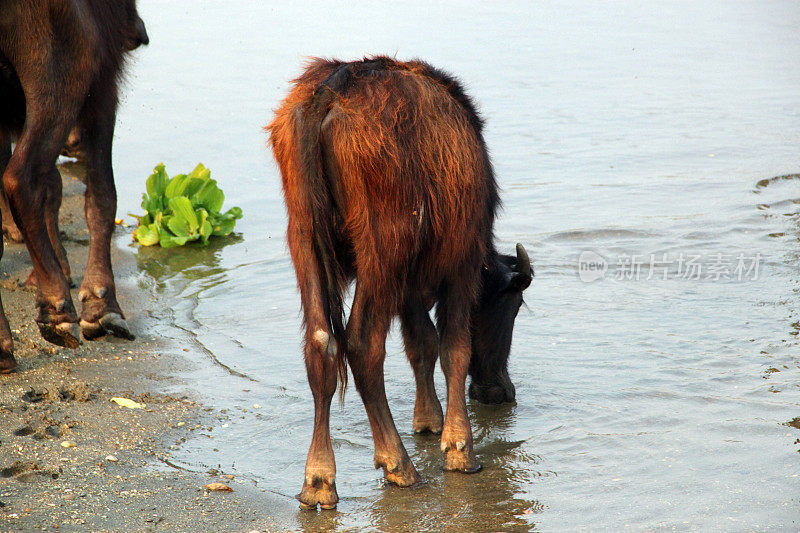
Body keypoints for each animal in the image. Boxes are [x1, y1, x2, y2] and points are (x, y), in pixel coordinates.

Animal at [0, 0, 149, 372]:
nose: (139, 34)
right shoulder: (103, 87)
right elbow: (103, 195)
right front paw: (102, 307)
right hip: (57, 76)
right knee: (22, 178)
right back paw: (57, 309)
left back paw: (4, 347)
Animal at [268, 56, 532, 510]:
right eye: (511, 306)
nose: (500, 390)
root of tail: (332, 90)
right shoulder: (461, 266)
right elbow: (453, 348)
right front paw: (459, 448)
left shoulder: (409, 287)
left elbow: (421, 343)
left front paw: (428, 421)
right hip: (381, 251)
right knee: (362, 345)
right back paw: (399, 464)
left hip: (303, 239)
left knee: (321, 344)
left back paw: (319, 480)